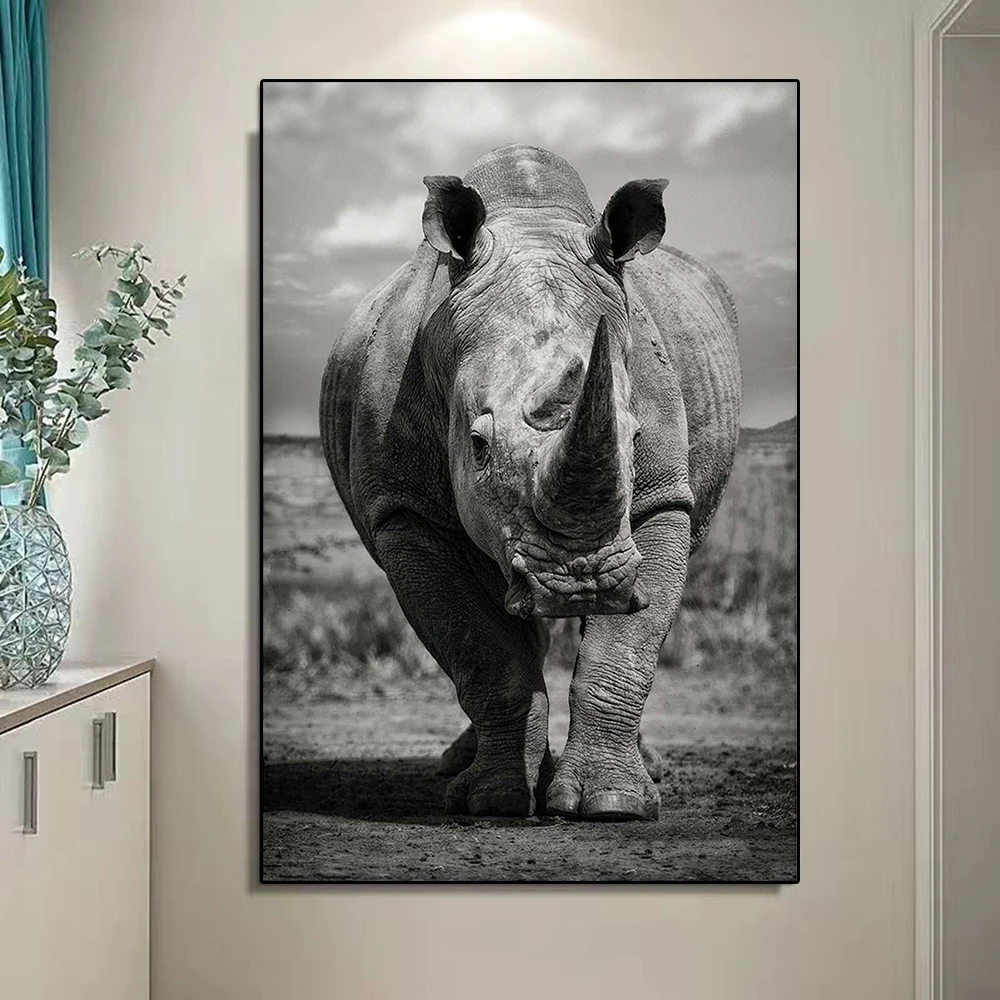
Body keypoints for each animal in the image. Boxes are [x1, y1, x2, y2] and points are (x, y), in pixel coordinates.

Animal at [320, 144, 741, 820]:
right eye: (477, 444)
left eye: (635, 438)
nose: (579, 581)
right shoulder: (406, 512)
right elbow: (479, 648)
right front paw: (493, 801)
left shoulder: (661, 501)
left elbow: (625, 648)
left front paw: (613, 805)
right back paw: (462, 771)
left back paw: (645, 770)